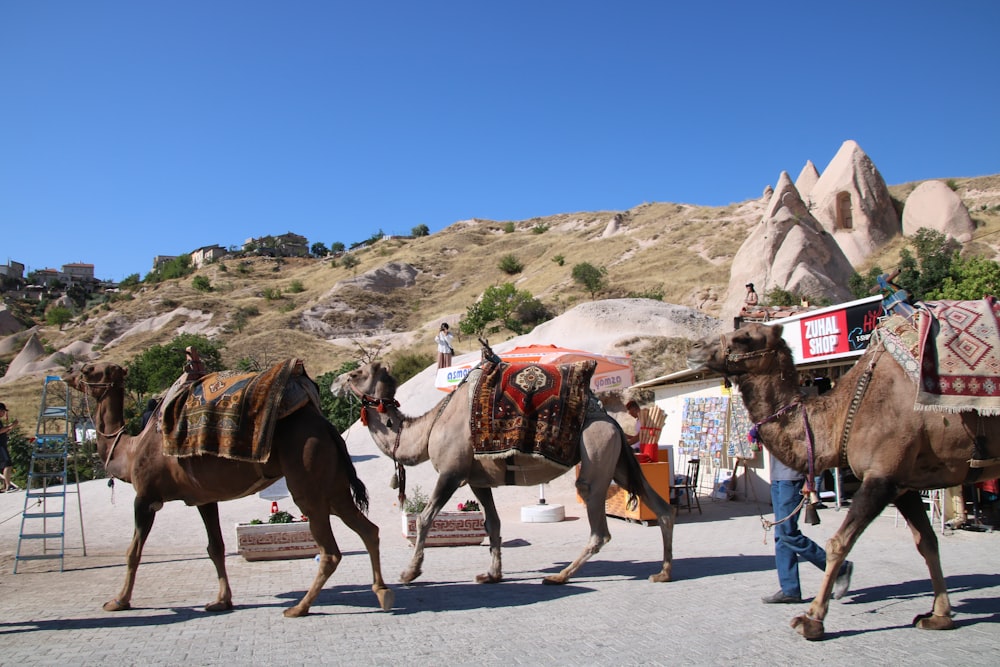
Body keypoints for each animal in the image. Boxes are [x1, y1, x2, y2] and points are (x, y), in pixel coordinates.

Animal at [62, 362, 394, 620]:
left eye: (90, 369)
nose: (67, 372)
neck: (130, 451)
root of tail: (327, 427)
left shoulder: (146, 498)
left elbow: (133, 552)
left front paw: (118, 601)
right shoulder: (204, 498)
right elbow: (216, 548)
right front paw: (221, 601)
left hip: (308, 482)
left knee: (330, 551)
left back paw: (299, 608)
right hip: (333, 485)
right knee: (368, 529)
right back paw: (382, 593)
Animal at [332, 362, 676, 588]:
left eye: (356, 373)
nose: (335, 382)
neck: (431, 425)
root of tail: (613, 421)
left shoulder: (451, 473)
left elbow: (427, 517)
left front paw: (410, 573)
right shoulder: (477, 480)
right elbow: (493, 523)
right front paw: (492, 575)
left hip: (597, 452)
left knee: (598, 526)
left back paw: (559, 576)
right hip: (618, 461)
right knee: (662, 508)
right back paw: (663, 572)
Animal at [688, 324, 1000, 640]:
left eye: (744, 337)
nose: (695, 348)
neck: (843, 416)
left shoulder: (881, 477)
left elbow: (838, 542)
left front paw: (811, 619)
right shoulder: (904, 484)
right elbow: (927, 542)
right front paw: (939, 615)